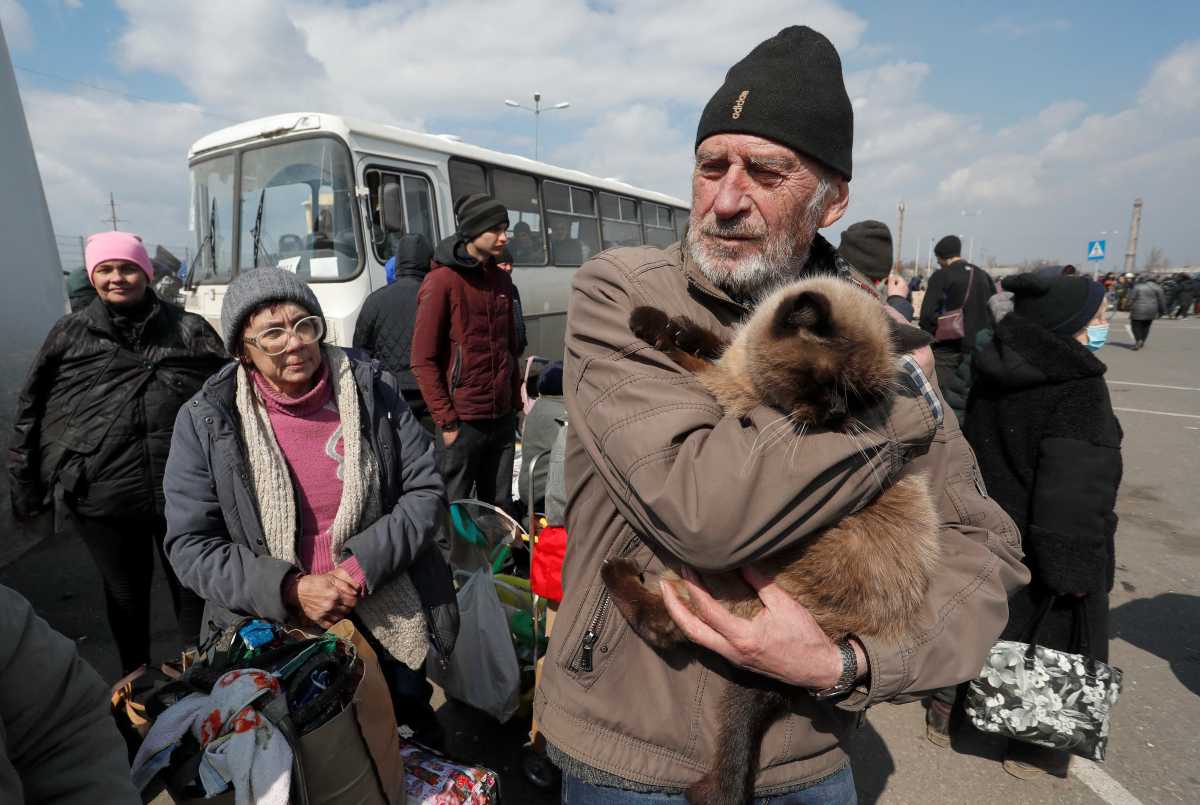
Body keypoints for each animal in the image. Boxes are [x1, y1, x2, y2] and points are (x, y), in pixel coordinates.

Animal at [604, 275, 940, 805]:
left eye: (861, 399)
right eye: (828, 385)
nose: (837, 416)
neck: (754, 380)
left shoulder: (739, 400)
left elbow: (697, 366)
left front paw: (662, 335)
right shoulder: (736, 359)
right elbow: (712, 339)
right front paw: (664, 323)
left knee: (665, 624)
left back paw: (616, 571)